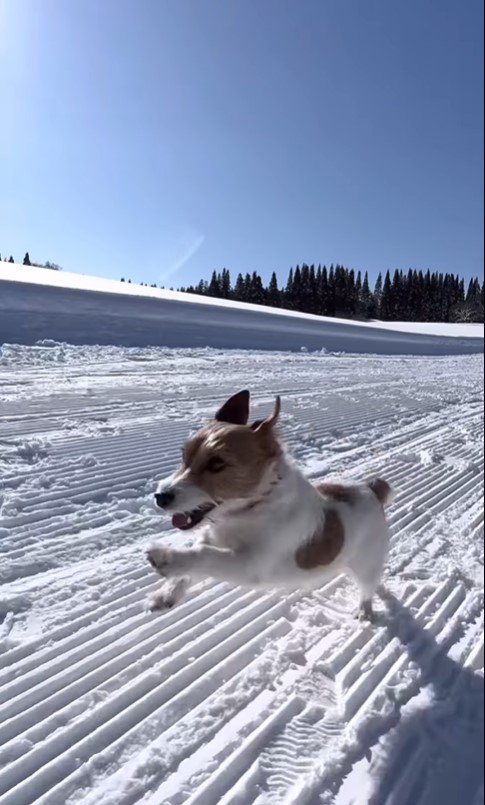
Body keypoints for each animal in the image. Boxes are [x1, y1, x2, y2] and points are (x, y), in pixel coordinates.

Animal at [146, 392, 392, 620]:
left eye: (217, 464)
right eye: (183, 456)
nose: (160, 496)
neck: (251, 508)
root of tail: (371, 489)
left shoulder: (249, 565)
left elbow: (204, 555)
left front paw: (166, 557)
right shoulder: (215, 542)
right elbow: (193, 566)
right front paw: (165, 595)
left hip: (366, 562)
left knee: (367, 587)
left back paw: (364, 610)